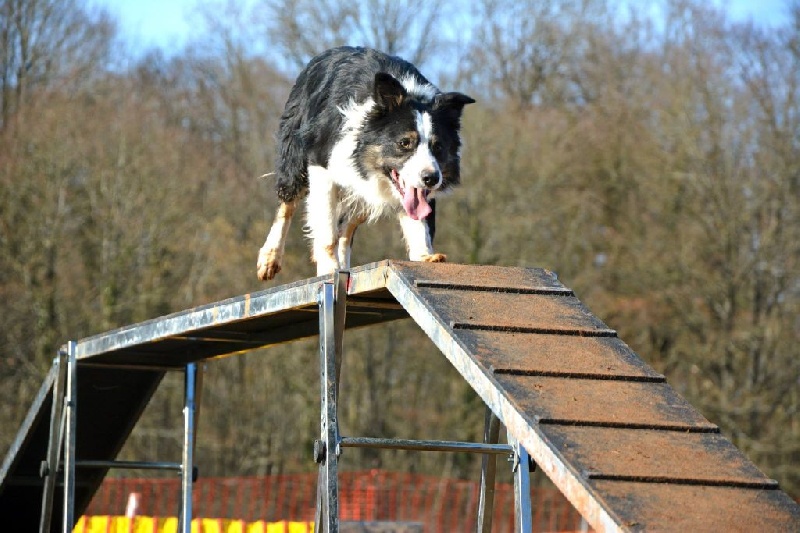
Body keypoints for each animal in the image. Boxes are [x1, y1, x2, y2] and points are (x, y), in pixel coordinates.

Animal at [256, 45, 472, 280]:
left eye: (438, 146)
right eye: (404, 143)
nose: (431, 178)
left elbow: (419, 223)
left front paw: (425, 257)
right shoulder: (321, 163)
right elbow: (326, 228)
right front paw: (328, 269)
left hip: (362, 192)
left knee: (346, 228)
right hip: (295, 155)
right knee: (287, 204)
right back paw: (270, 258)